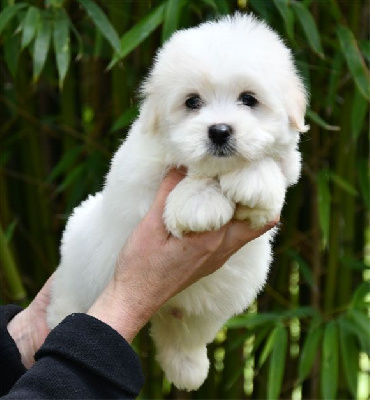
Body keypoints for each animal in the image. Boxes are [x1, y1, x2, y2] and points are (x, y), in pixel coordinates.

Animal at [47, 13, 308, 390]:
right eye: (192, 102)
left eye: (249, 99)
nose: (219, 131)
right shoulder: (138, 180)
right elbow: (183, 177)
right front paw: (200, 203)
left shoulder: (288, 164)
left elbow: (275, 169)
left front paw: (254, 182)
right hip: (81, 270)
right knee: (69, 299)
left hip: (212, 302)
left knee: (185, 333)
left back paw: (188, 368)